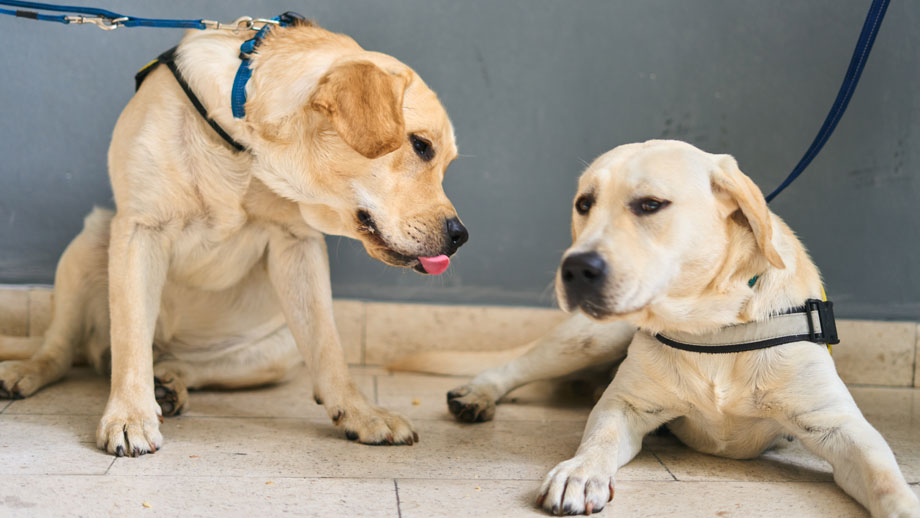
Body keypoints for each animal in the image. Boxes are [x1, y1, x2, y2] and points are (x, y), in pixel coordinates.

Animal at [398, 140, 916, 516]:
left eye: (650, 204)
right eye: (584, 204)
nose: (575, 268)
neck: (713, 327)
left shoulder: (838, 426)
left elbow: (884, 476)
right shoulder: (623, 407)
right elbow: (598, 441)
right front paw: (579, 473)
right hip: (592, 336)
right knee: (513, 368)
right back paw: (477, 394)